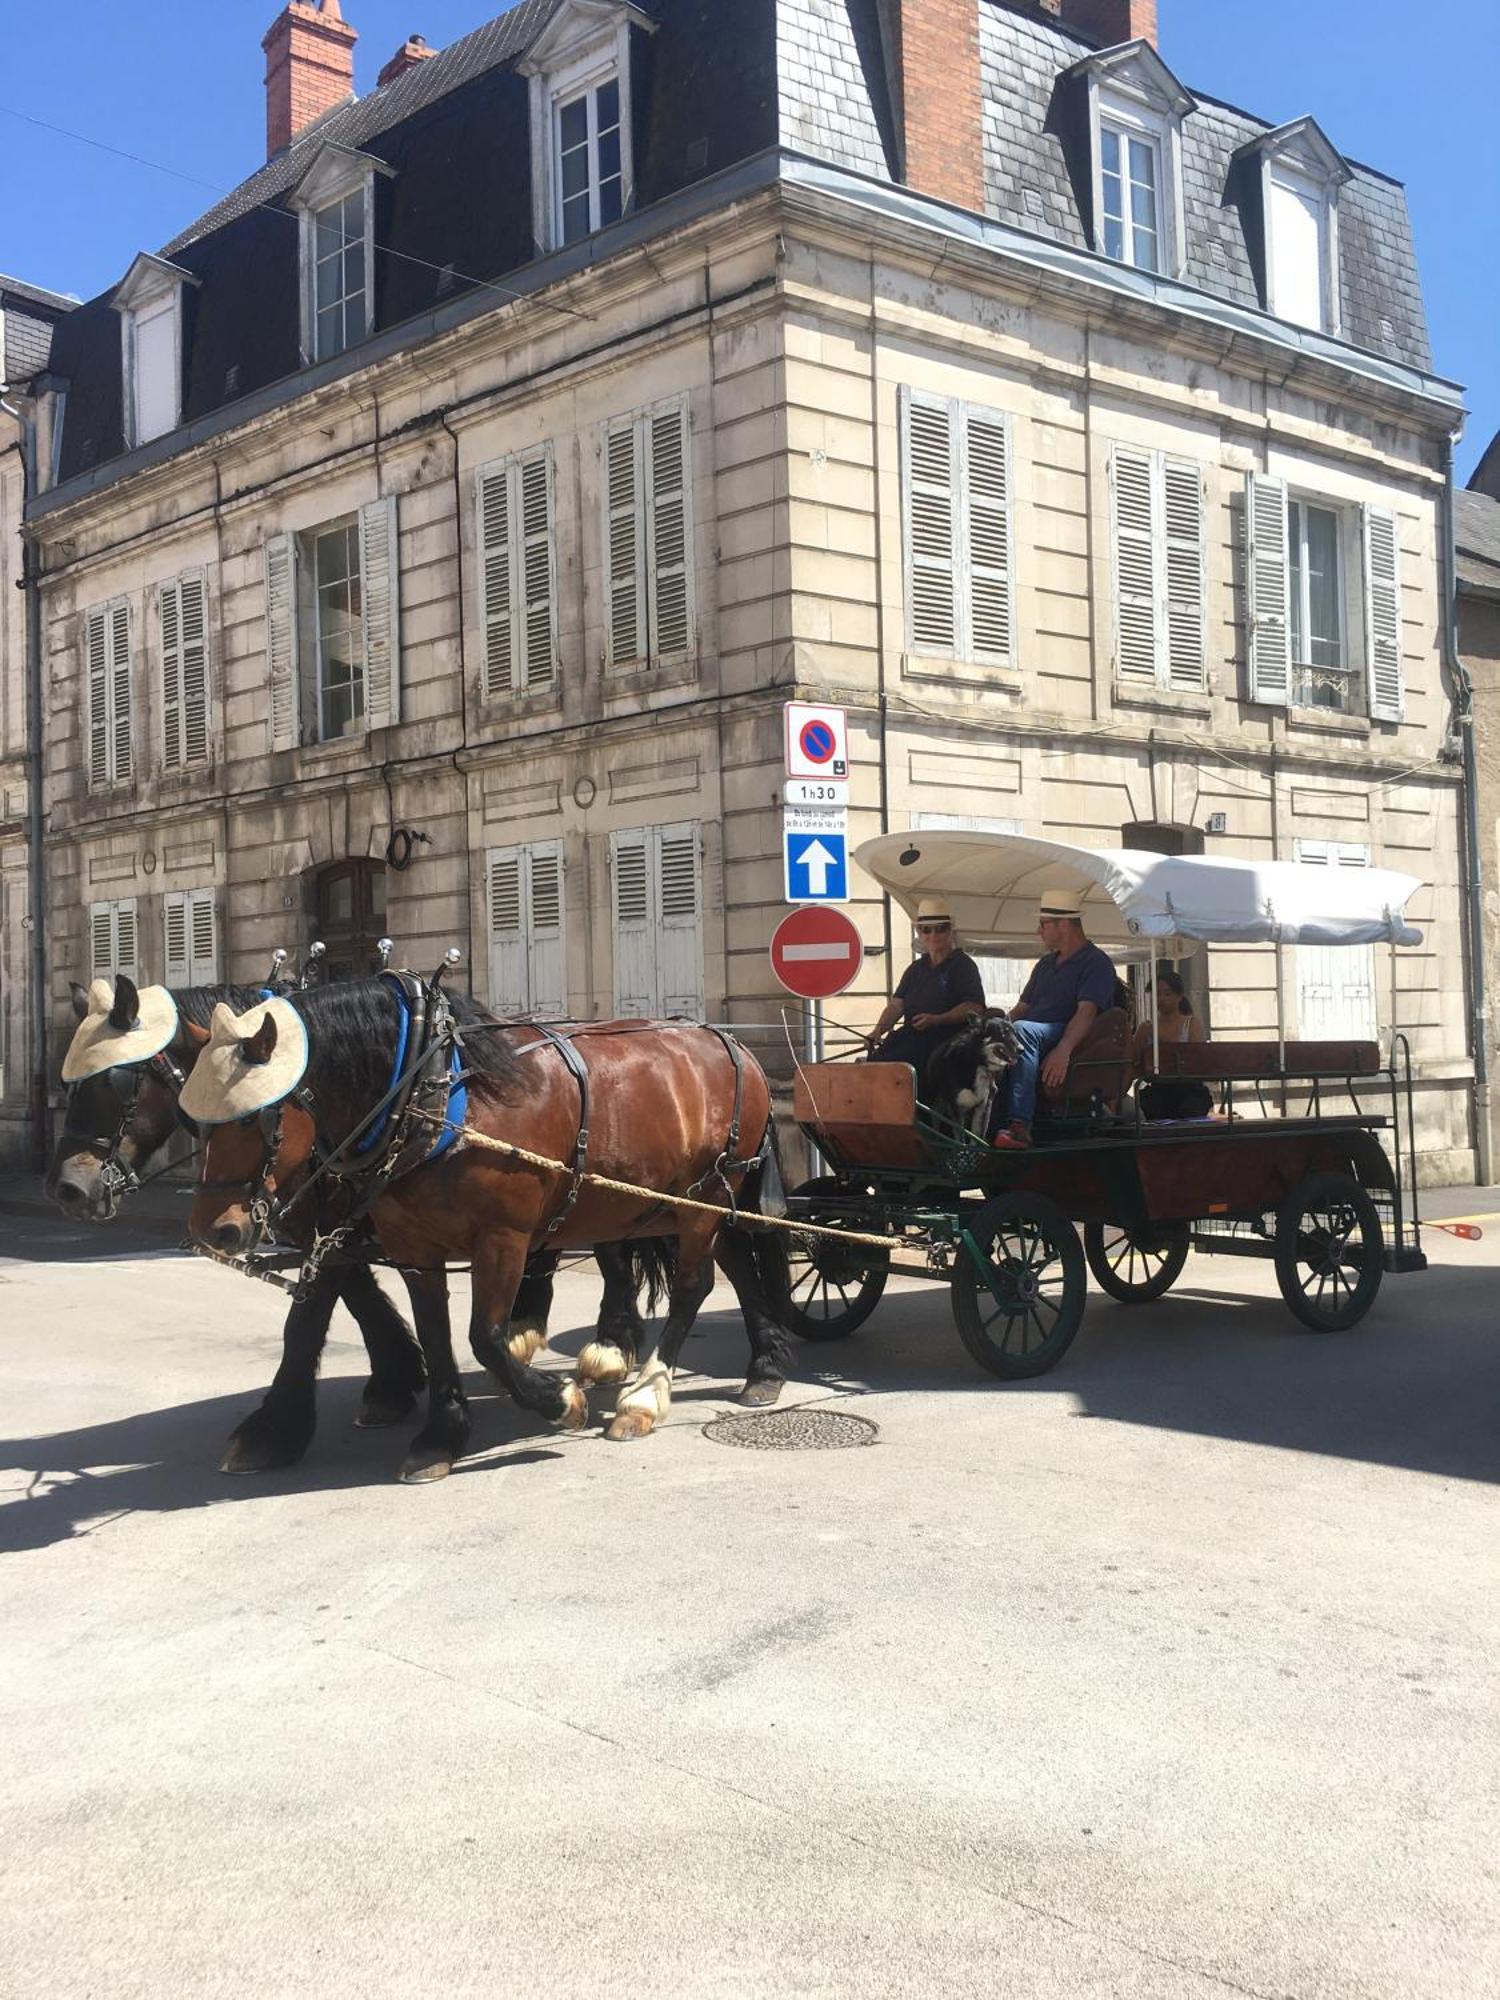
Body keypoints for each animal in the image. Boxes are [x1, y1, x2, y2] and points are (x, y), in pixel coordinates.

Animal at [191, 976, 800, 1480]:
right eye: (197, 1120)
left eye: (256, 1116)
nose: (214, 1231)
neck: (432, 1094)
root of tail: (735, 1046)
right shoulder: (409, 1246)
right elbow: (429, 1332)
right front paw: (439, 1434)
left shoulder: (501, 1239)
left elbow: (483, 1337)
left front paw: (560, 1401)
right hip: (685, 1202)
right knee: (738, 1266)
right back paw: (763, 1369)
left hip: (704, 1198)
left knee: (694, 1287)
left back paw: (645, 1396)